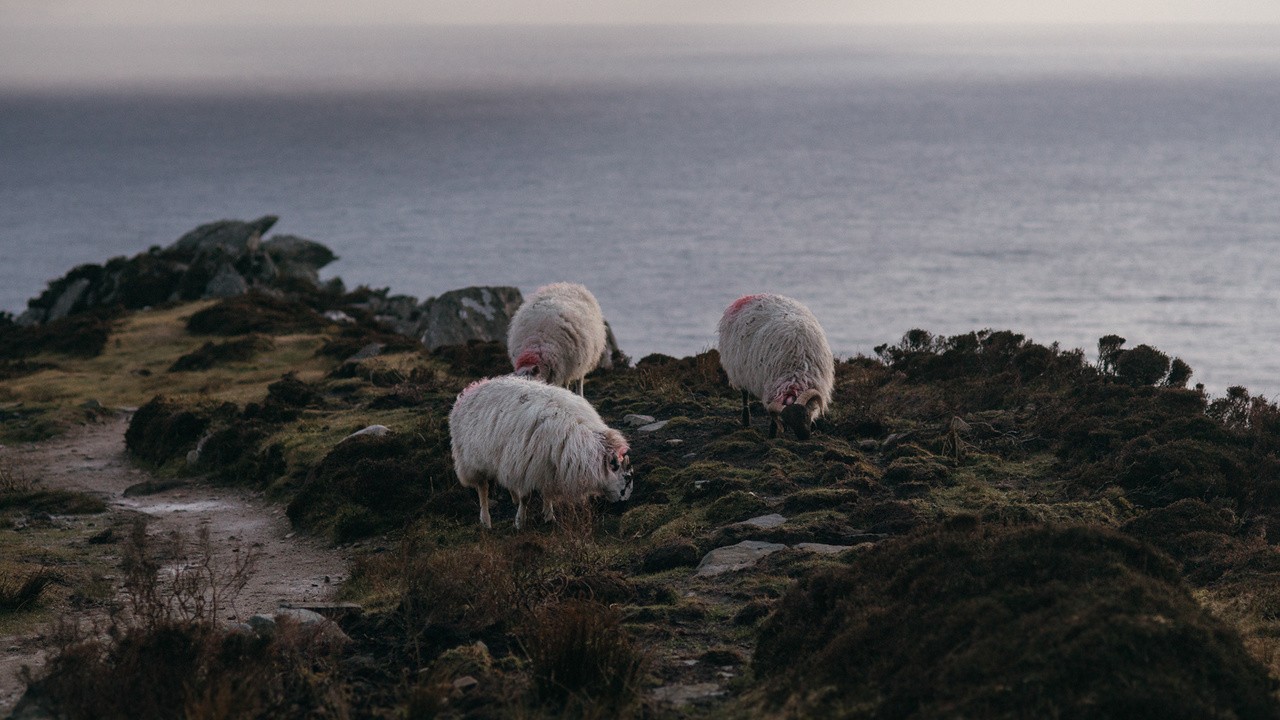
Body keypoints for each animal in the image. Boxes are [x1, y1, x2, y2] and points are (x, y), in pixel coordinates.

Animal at [448, 376, 632, 527]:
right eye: (627, 478)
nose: (624, 507)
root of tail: (473, 387)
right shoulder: (525, 467)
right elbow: (526, 497)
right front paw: (520, 522)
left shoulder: (546, 466)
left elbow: (547, 492)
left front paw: (549, 516)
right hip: (471, 461)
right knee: (482, 489)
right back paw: (486, 520)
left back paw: (512, 497)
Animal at [716, 289, 834, 438]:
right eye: (788, 420)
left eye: (805, 415)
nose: (804, 437)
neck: (795, 370)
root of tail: (746, 298)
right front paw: (772, 433)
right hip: (740, 371)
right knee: (744, 394)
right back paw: (746, 421)